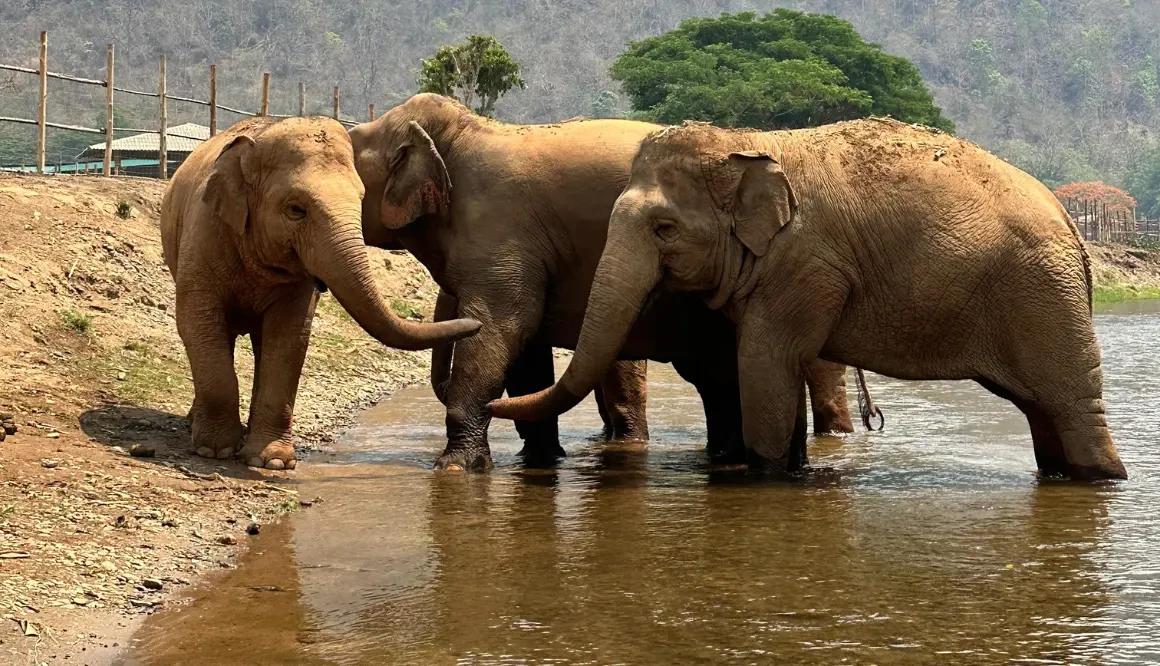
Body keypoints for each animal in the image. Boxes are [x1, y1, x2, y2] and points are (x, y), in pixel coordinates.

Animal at [160, 116, 480, 469]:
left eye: (361, 200)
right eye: (296, 209)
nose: (475, 325)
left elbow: (290, 337)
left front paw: (272, 462)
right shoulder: (204, 236)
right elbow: (196, 321)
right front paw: (214, 451)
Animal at [349, 94, 858, 471]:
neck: (462, 132)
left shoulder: (501, 230)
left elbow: (501, 328)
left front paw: (455, 468)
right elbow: (525, 350)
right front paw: (539, 460)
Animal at [488, 118, 1127, 481]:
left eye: (664, 229)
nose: (489, 404)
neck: (748, 143)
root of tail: (1072, 223)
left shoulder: (805, 265)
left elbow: (763, 362)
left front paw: (766, 478)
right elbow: (776, 368)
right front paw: (793, 470)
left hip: (1043, 297)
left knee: (1070, 404)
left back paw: (1102, 478)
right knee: (1042, 410)